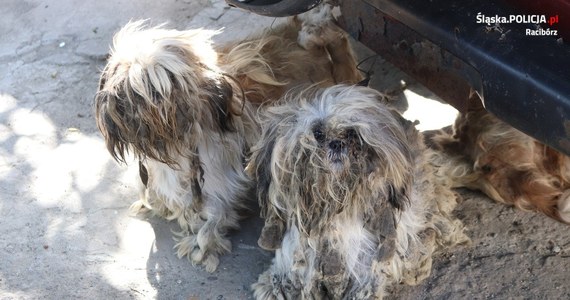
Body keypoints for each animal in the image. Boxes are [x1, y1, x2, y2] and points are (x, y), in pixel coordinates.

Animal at [93, 3, 360, 274]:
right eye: (125, 79)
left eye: (165, 82)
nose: (132, 103)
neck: (173, 142)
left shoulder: (218, 180)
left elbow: (212, 218)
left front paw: (201, 244)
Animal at [247, 84, 466, 298]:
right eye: (318, 134)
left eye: (352, 134)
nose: (337, 143)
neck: (336, 210)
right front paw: (275, 286)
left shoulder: (368, 260)